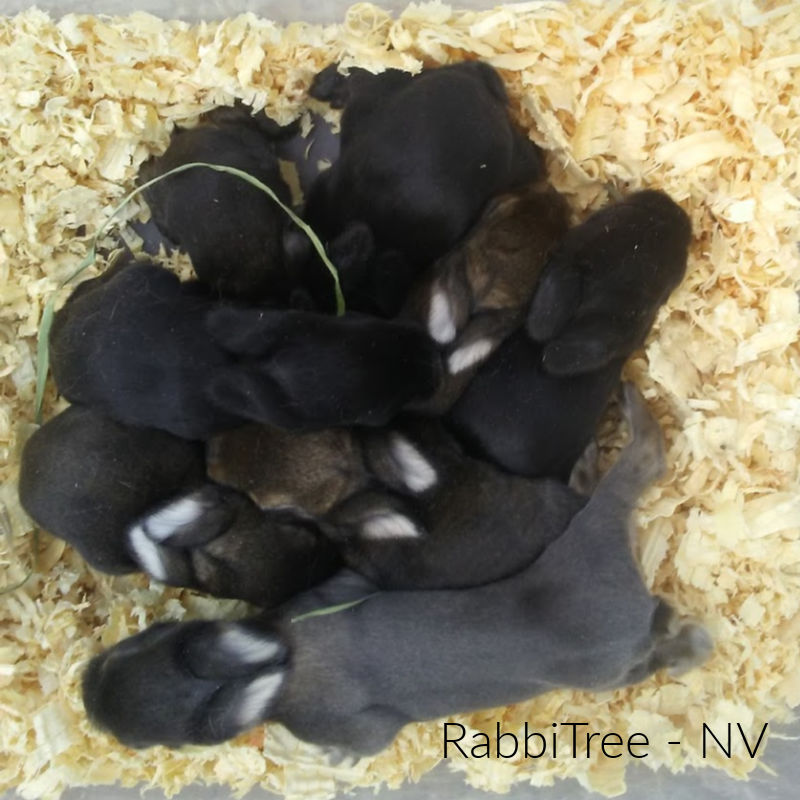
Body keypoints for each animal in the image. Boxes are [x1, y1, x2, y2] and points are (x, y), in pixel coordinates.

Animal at [81, 384, 712, 752]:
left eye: (150, 744)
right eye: (136, 644)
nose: (87, 691)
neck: (280, 662)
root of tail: (595, 537)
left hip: (614, 667)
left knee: (660, 647)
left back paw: (693, 648)